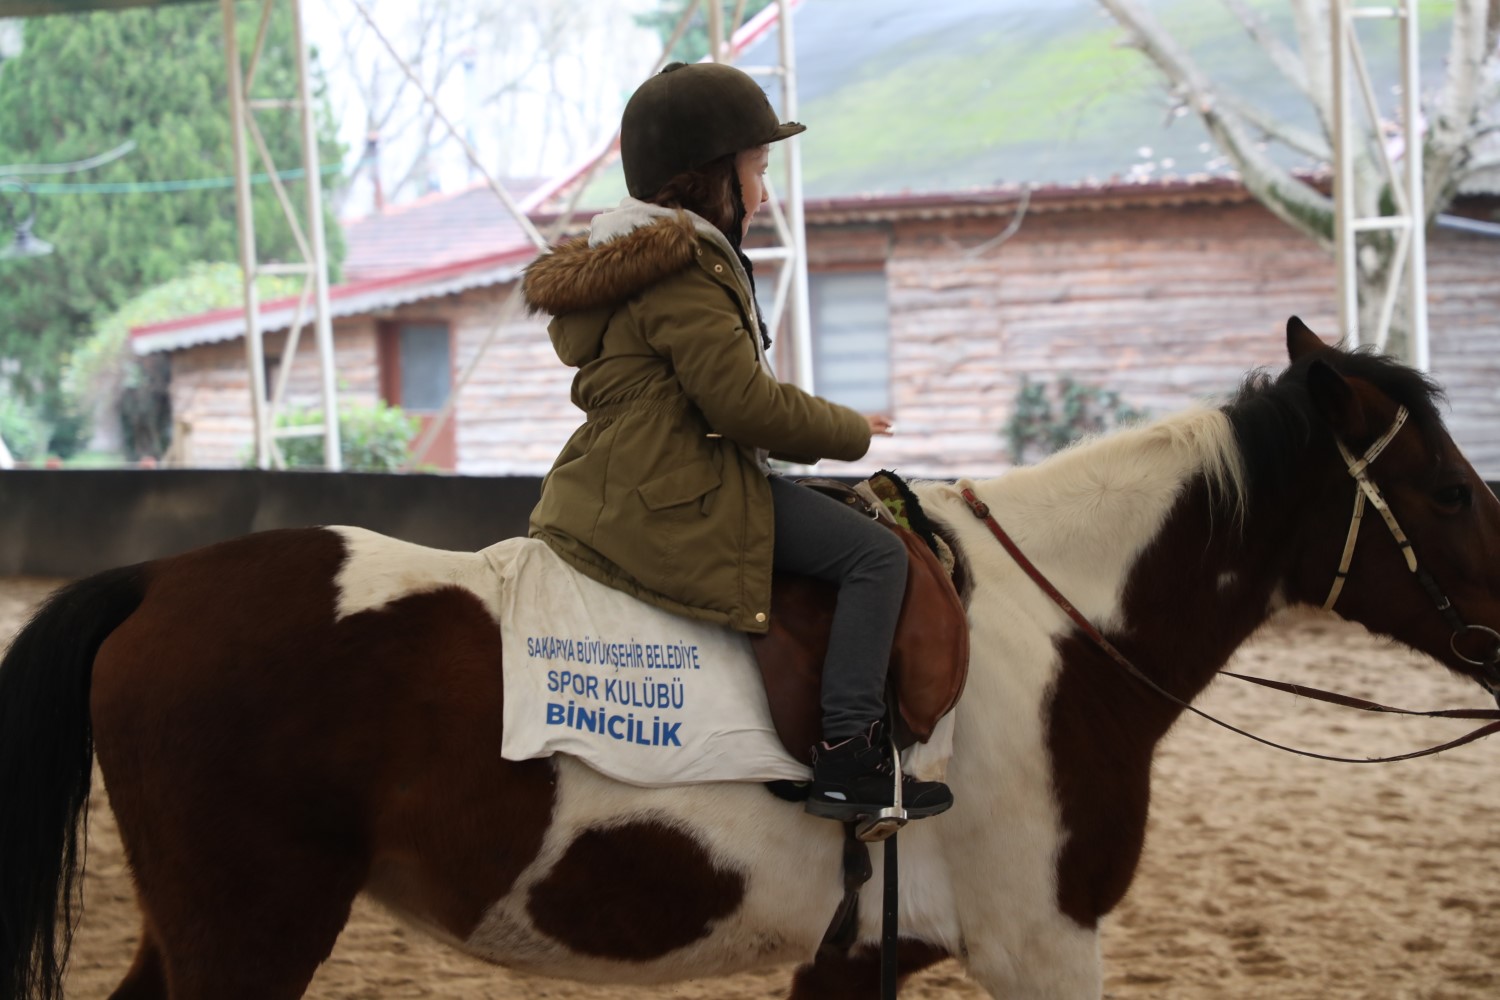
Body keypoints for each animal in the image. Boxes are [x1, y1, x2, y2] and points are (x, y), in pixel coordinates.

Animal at [2, 322, 1500, 1000]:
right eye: (1445, 488)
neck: (1063, 635)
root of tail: (158, 580)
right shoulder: (1044, 949)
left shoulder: (865, 956)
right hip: (248, 937)